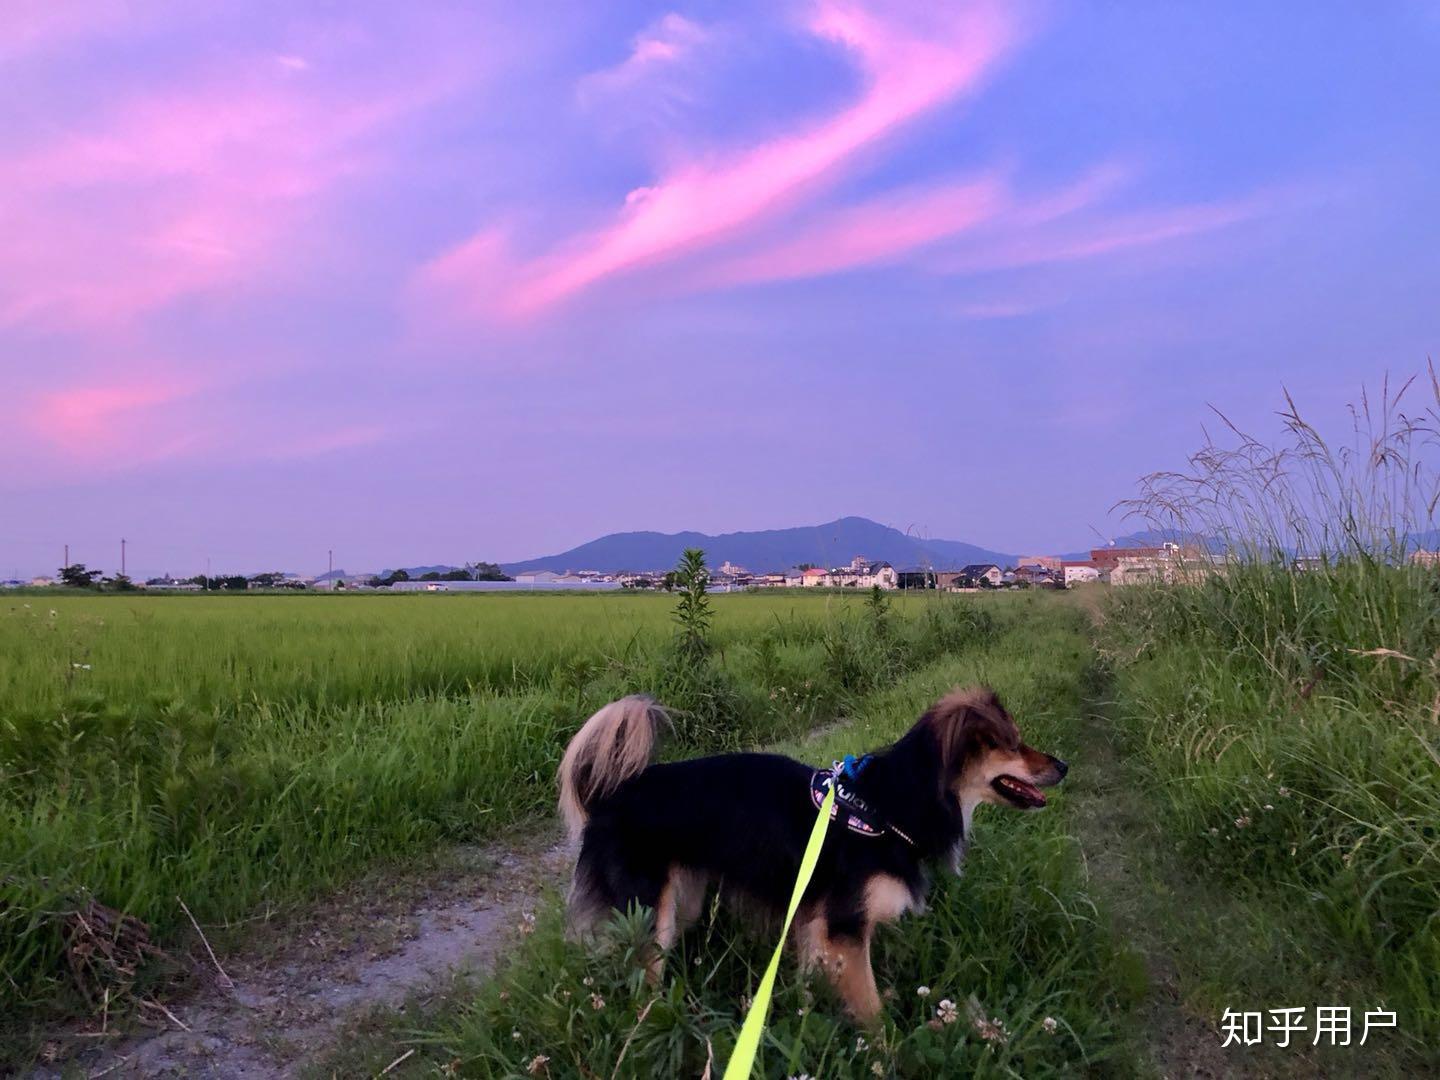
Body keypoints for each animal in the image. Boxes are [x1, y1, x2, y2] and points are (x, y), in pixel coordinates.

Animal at [555, 688, 1065, 1025]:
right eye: (1013, 743)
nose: (1063, 765)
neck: (891, 806)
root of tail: (611, 796)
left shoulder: (815, 930)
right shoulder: (842, 929)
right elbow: (872, 1012)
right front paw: (886, 1055)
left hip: (683, 901)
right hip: (649, 912)